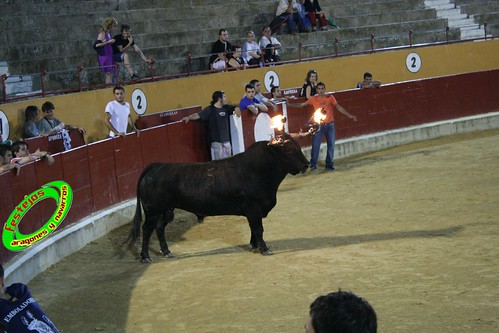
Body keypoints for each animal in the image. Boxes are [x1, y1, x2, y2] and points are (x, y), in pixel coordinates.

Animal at [123, 135, 310, 262]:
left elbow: (253, 229)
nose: (307, 164)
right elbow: (258, 229)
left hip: (166, 210)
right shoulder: (254, 208)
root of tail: (156, 165)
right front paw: (264, 249)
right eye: (288, 149)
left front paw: (254, 245)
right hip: (153, 210)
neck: (259, 169)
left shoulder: (253, 212)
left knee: (160, 228)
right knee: (147, 229)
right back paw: (145, 257)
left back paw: (167, 252)